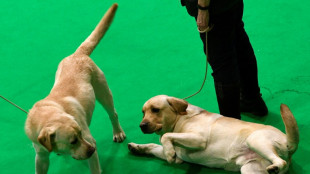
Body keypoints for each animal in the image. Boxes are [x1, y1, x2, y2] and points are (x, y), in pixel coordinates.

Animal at [24, 3, 125, 173]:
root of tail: (77, 54)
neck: (47, 115)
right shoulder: (41, 157)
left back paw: (118, 132)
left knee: (113, 114)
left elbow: (95, 169)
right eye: (72, 141)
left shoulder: (89, 141)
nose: (92, 150)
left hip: (103, 92)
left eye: (80, 135)